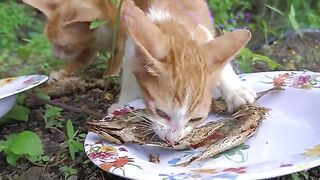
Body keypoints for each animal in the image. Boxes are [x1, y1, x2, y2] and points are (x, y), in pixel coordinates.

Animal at [110, 0, 258, 146]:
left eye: (196, 119)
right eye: (161, 113)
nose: (172, 140)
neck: (173, 22)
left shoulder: (205, 36)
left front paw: (236, 90)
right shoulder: (132, 45)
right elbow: (129, 75)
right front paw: (123, 103)